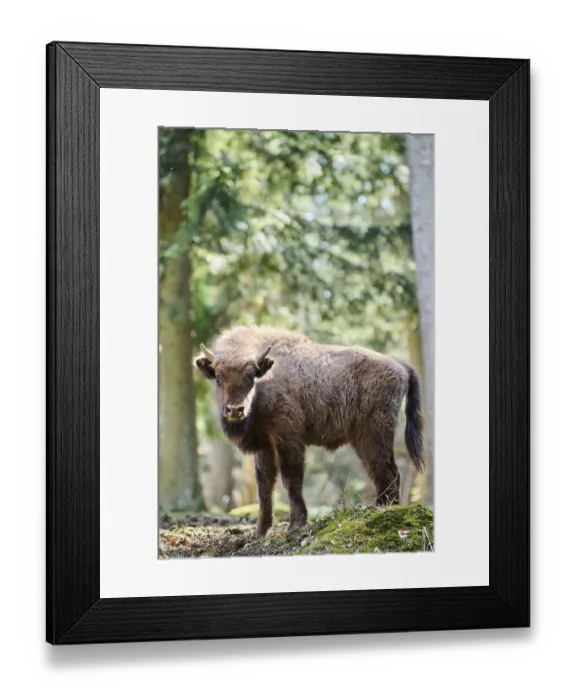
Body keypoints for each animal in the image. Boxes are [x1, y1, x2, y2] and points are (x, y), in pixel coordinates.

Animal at [195, 325, 426, 536]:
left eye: (251, 376)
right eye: (218, 377)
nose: (235, 409)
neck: (267, 378)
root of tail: (400, 366)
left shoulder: (287, 438)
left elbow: (291, 478)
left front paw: (295, 526)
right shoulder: (264, 445)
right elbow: (264, 485)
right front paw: (260, 531)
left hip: (374, 435)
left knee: (388, 471)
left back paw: (384, 510)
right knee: (383, 472)